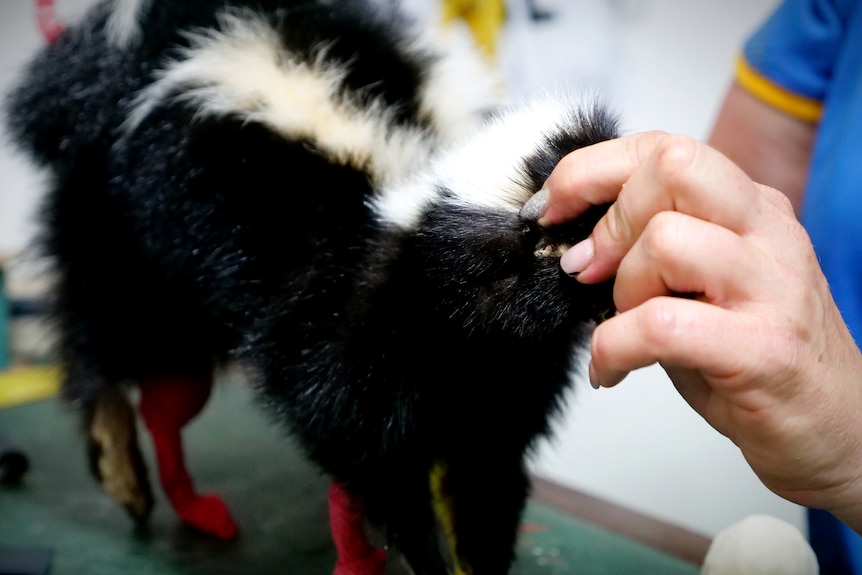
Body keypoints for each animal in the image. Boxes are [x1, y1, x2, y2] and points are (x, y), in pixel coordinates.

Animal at [3, 1, 616, 575]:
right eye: (570, 241)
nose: (616, 296)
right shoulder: (355, 338)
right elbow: (369, 452)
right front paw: (419, 554)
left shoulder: (503, 383)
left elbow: (484, 475)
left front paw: (476, 559)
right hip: (122, 234)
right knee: (100, 328)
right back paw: (119, 459)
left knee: (164, 397)